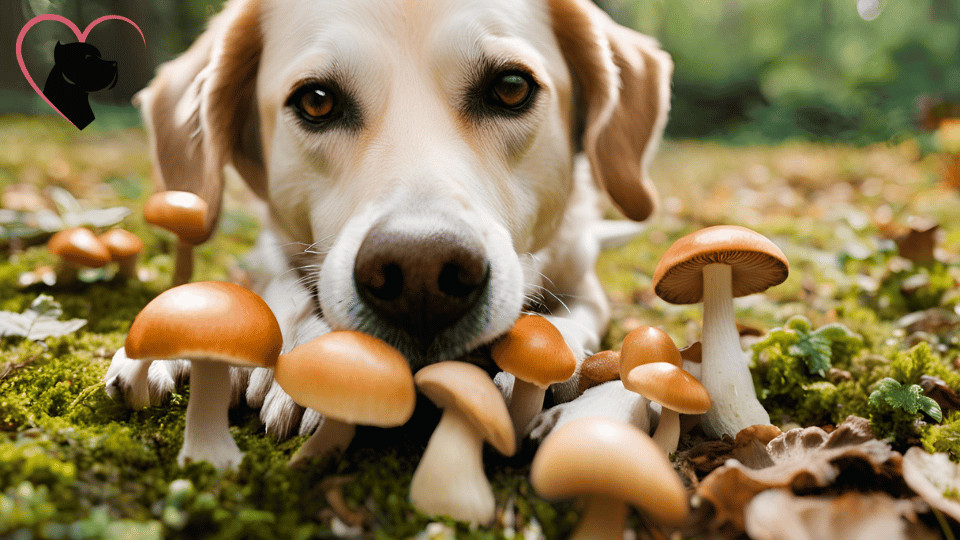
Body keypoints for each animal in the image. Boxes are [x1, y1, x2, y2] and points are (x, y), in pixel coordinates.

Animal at [105, 0, 672, 440]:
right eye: (316, 101)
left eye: (511, 87)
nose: (422, 276)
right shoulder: (273, 253)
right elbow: (280, 288)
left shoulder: (583, 283)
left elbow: (568, 319)